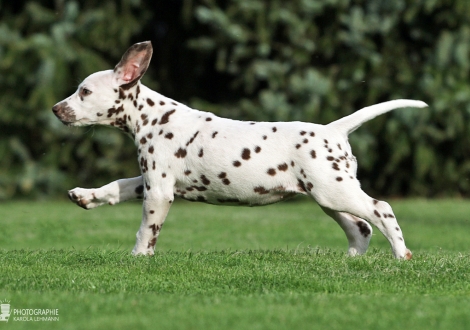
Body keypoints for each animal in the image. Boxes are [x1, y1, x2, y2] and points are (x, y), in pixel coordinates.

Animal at [53, 40, 428, 258]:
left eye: (84, 92)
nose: (56, 109)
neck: (155, 117)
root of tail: (333, 129)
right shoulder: (149, 180)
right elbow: (117, 187)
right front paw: (87, 196)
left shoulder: (159, 190)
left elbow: (147, 229)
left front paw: (138, 257)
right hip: (328, 196)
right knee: (360, 227)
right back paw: (351, 263)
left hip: (334, 191)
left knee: (381, 210)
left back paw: (402, 256)